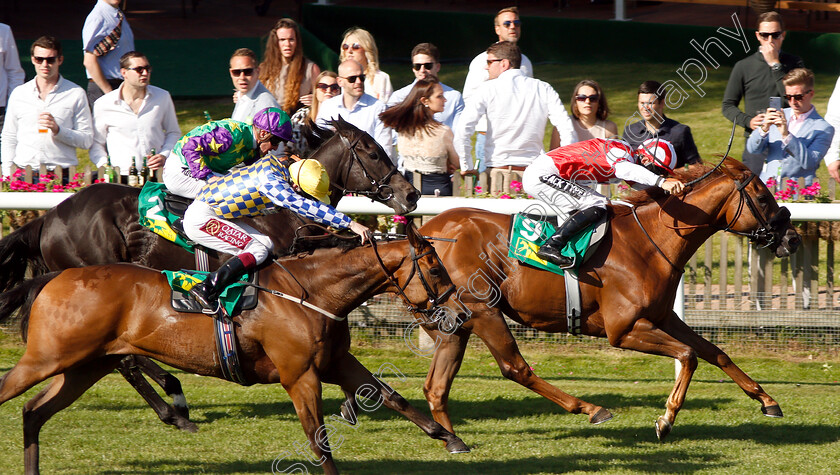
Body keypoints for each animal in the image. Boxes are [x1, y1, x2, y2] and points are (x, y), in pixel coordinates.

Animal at [0, 118, 416, 432]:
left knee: (122, 354)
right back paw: (174, 406)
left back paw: (173, 396)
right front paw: (350, 401)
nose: (411, 194)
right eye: (373, 153)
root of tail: (48, 218)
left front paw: (352, 399)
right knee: (125, 359)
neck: (286, 213)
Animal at [0, 225, 470, 474]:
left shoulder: (336, 362)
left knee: (34, 412)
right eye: (434, 268)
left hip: (85, 366)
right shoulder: (300, 376)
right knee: (13, 393)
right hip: (48, 358)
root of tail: (53, 277)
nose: (460, 313)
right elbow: (318, 439)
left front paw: (451, 438)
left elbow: (390, 396)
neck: (314, 292)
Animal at [414, 160, 800, 442]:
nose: (792, 239)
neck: (649, 241)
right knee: (515, 368)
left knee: (436, 387)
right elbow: (688, 355)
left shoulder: (664, 317)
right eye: (763, 199)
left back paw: (451, 439)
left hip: (456, 324)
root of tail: (423, 232)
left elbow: (713, 351)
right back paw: (591, 408)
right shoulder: (623, 329)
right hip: (483, 311)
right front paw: (666, 419)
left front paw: (767, 400)